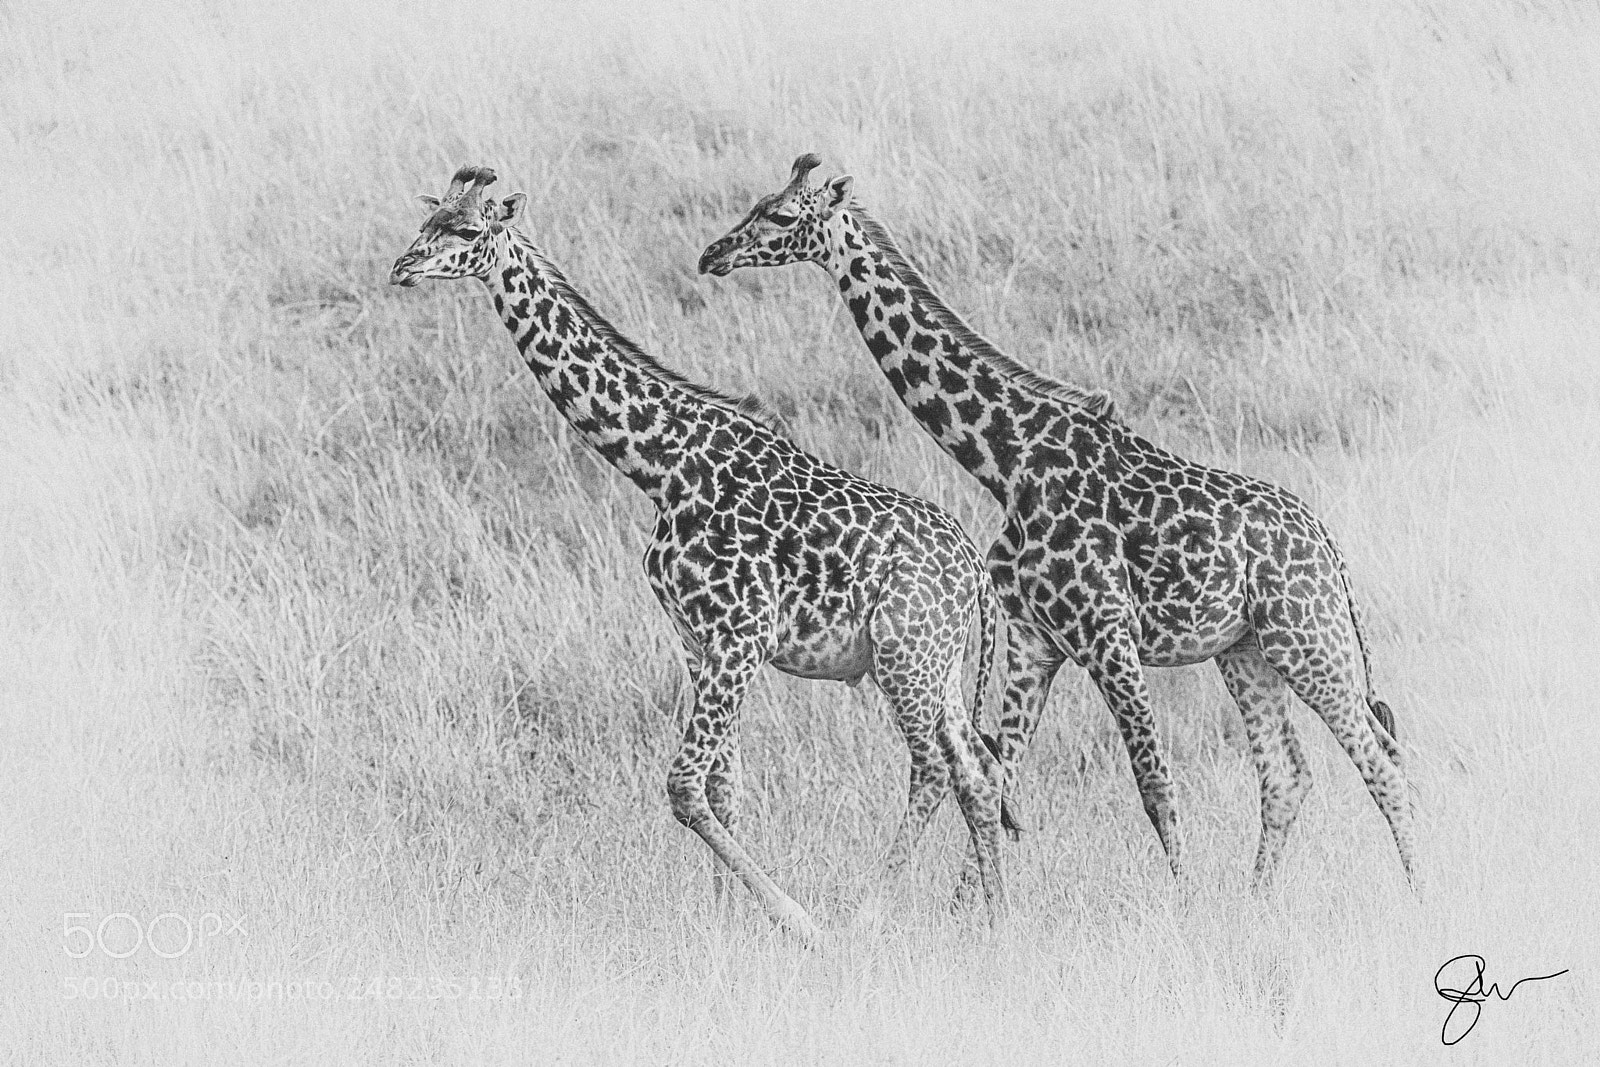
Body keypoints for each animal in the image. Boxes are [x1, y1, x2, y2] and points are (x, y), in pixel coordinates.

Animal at [390, 165, 1011, 942]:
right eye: (427, 220)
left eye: (468, 230)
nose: (402, 267)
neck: (662, 464)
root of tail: (975, 571)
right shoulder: (696, 639)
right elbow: (724, 783)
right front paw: (726, 920)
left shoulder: (740, 635)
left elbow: (684, 786)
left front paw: (793, 917)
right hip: (940, 662)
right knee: (975, 768)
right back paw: (999, 919)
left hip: (906, 656)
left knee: (930, 767)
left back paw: (863, 910)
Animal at [698, 154, 1416, 889]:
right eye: (757, 203)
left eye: (782, 215)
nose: (713, 254)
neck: (1005, 460)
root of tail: (1329, 545)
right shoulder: (1034, 639)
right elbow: (1001, 778)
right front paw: (977, 910)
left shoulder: (1105, 629)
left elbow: (1155, 782)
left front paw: (1184, 905)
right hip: (1247, 650)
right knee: (1287, 774)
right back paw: (1257, 902)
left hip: (1308, 636)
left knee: (1385, 762)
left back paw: (1418, 895)